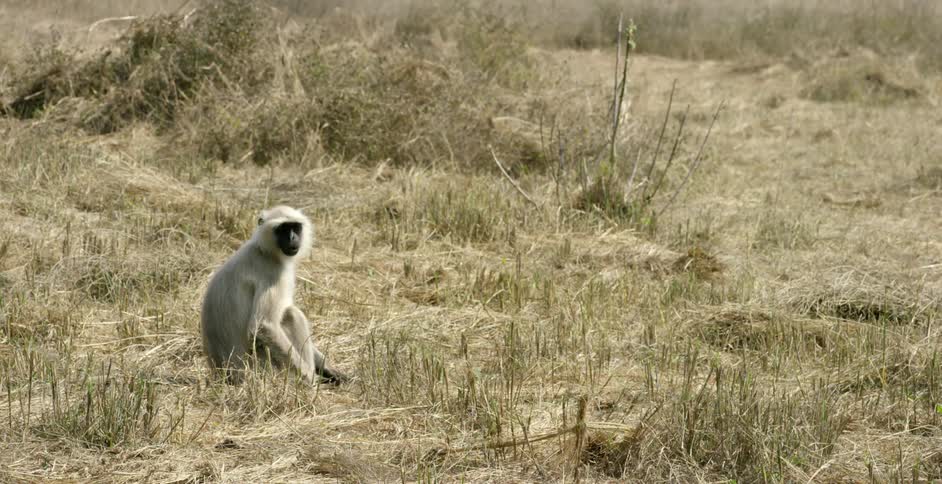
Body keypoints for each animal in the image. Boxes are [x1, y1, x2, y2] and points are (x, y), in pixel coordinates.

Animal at [200, 205, 347, 385]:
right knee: (292, 314)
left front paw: (328, 369)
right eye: (283, 229)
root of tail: (227, 375)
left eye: (295, 227)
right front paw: (311, 378)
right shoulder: (274, 272)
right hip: (263, 369)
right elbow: (263, 326)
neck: (264, 250)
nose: (292, 237)